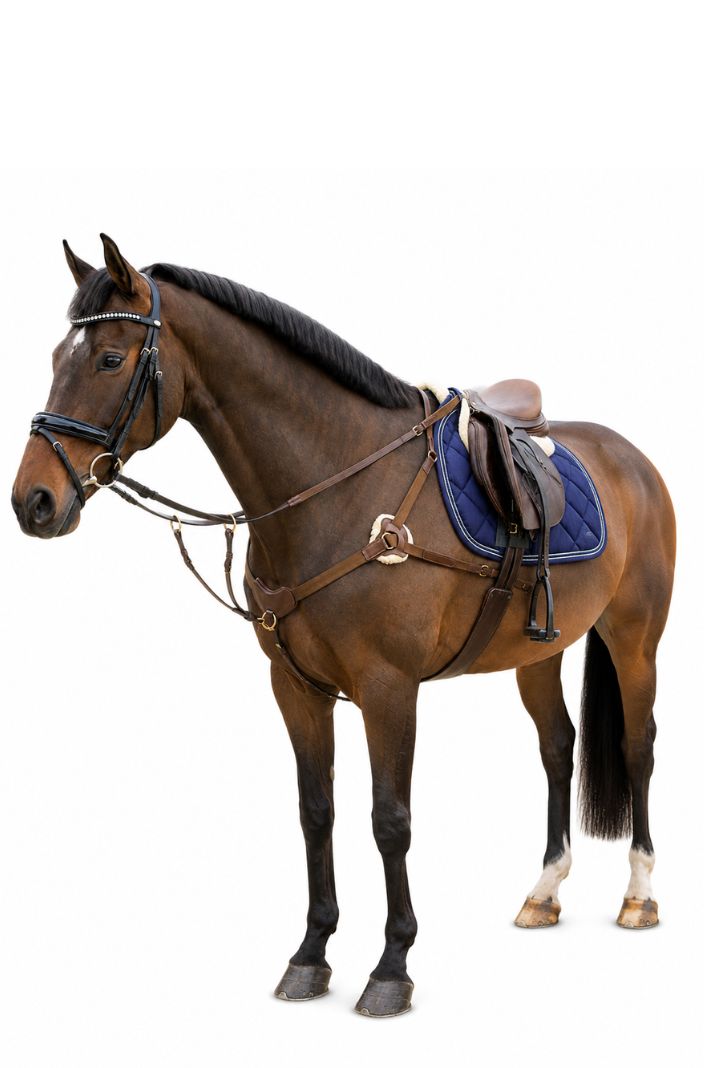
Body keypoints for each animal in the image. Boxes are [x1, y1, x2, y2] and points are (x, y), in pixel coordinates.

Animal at [11, 235, 676, 1017]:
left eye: (110, 359)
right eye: (58, 357)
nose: (33, 501)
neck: (336, 486)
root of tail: (633, 461)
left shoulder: (389, 690)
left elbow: (389, 820)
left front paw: (392, 966)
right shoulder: (296, 688)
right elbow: (316, 812)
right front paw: (311, 953)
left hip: (635, 639)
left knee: (637, 747)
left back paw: (639, 895)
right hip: (538, 652)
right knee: (557, 747)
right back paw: (543, 892)